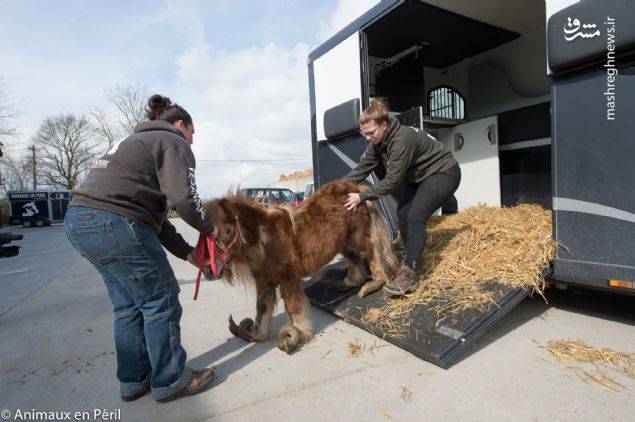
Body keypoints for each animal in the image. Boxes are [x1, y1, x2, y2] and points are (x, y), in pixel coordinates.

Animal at [204, 178, 398, 352]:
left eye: (227, 230)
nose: (208, 272)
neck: (264, 239)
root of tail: (356, 189)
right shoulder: (264, 282)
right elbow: (262, 308)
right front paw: (258, 335)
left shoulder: (288, 279)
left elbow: (294, 308)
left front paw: (295, 338)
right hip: (345, 242)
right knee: (355, 261)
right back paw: (346, 283)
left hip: (360, 236)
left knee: (374, 254)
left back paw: (373, 283)